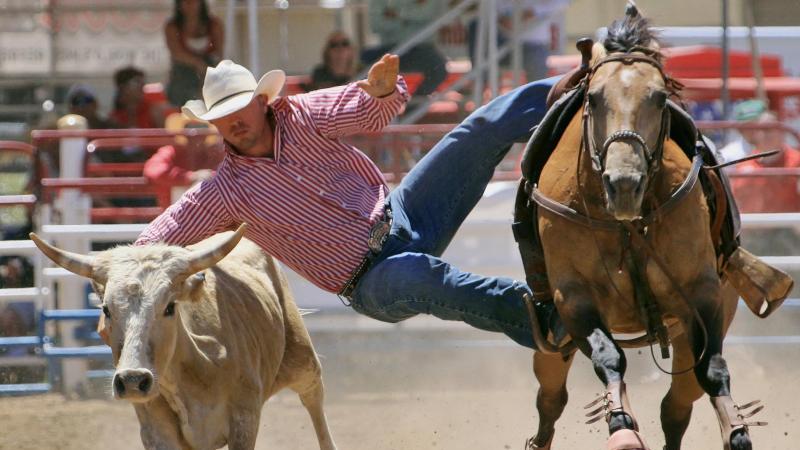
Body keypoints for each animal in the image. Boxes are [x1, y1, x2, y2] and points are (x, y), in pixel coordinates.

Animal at [524, 4, 764, 450]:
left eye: (659, 97)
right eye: (594, 98)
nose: (624, 184)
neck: (627, 224)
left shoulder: (702, 295)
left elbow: (713, 369)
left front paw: (737, 432)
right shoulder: (573, 298)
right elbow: (608, 357)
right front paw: (622, 428)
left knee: (677, 405)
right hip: (551, 344)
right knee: (550, 399)